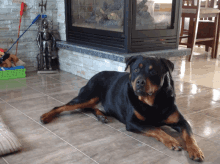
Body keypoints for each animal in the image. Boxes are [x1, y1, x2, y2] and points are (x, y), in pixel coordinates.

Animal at [40, 55, 205, 161]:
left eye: (153, 71)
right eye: (136, 69)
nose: (139, 82)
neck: (152, 102)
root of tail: (93, 76)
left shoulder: (181, 121)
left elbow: (189, 135)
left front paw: (195, 150)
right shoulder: (132, 122)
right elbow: (155, 128)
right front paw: (172, 140)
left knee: (89, 108)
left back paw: (101, 116)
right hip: (88, 96)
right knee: (63, 106)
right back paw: (46, 116)